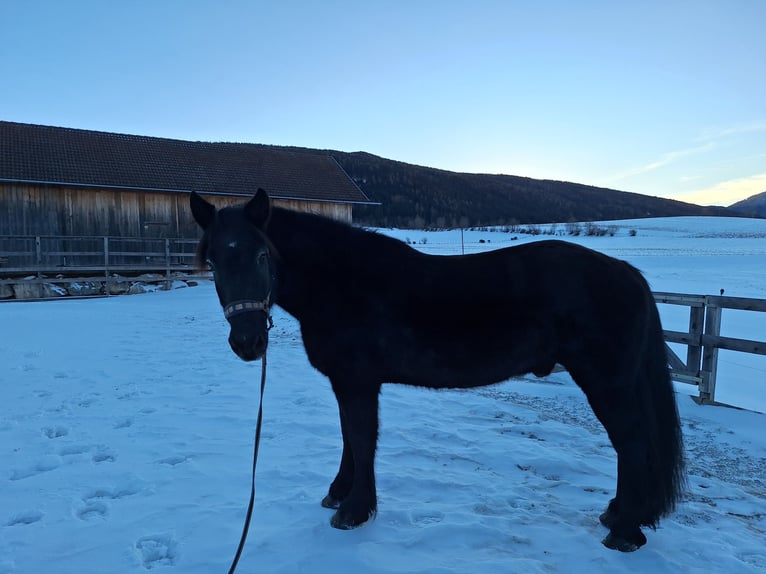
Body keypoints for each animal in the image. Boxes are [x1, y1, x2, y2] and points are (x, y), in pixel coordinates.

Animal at [192, 189, 688, 552]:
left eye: (261, 257)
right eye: (214, 261)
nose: (247, 343)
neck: (341, 283)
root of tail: (626, 272)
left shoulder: (358, 383)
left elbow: (362, 438)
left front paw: (354, 512)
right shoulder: (345, 383)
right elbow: (349, 437)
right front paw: (339, 494)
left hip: (607, 383)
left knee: (631, 445)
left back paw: (624, 532)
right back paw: (618, 515)